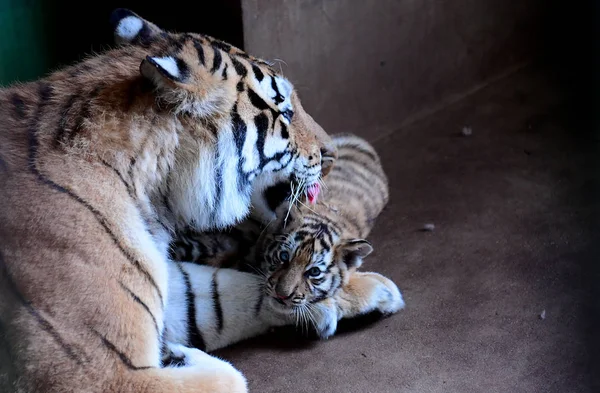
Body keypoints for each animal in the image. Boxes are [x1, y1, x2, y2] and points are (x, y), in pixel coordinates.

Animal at [0, 9, 332, 392]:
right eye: (286, 113)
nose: (331, 153)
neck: (155, 192)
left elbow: (226, 293)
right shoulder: (100, 374)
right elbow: (228, 376)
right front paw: (180, 355)